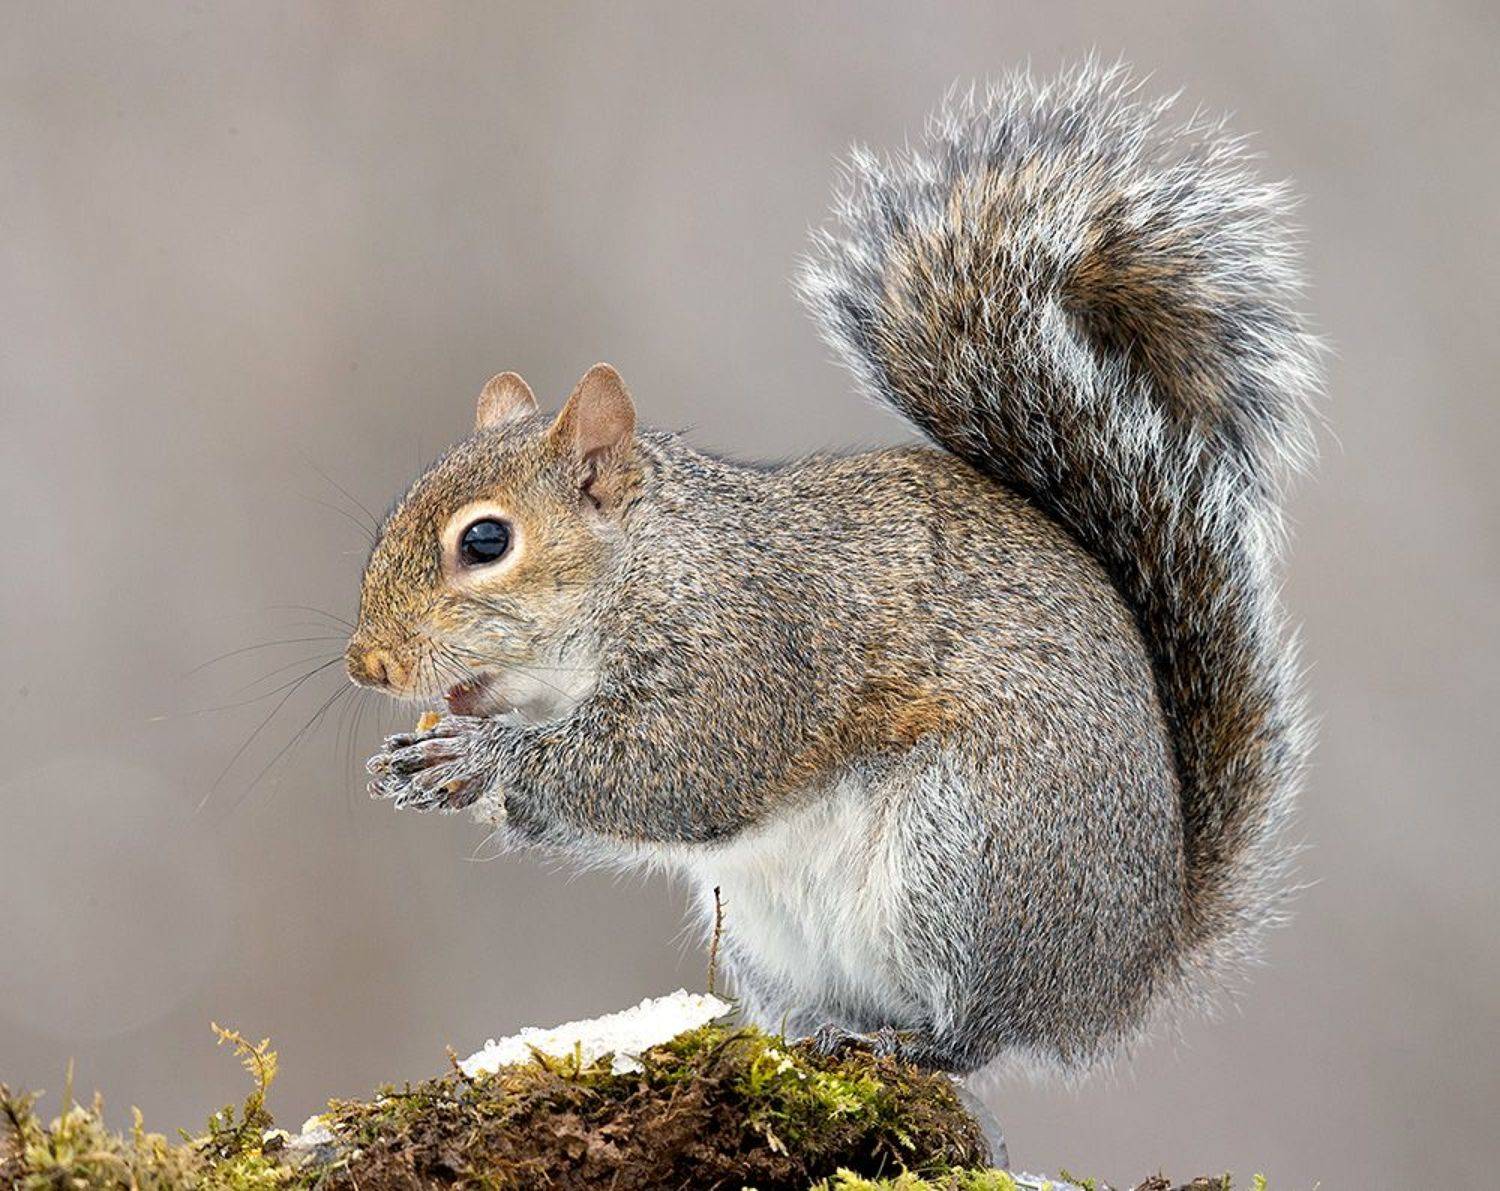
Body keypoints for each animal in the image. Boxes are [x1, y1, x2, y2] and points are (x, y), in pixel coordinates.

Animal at [354, 62, 1320, 1076]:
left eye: (486, 543)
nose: (366, 663)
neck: (651, 565)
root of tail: (1126, 967)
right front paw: (410, 766)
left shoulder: (748, 651)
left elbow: (668, 767)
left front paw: (478, 756)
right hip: (770, 929)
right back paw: (810, 1030)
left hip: (967, 851)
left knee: (976, 1033)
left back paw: (909, 1040)